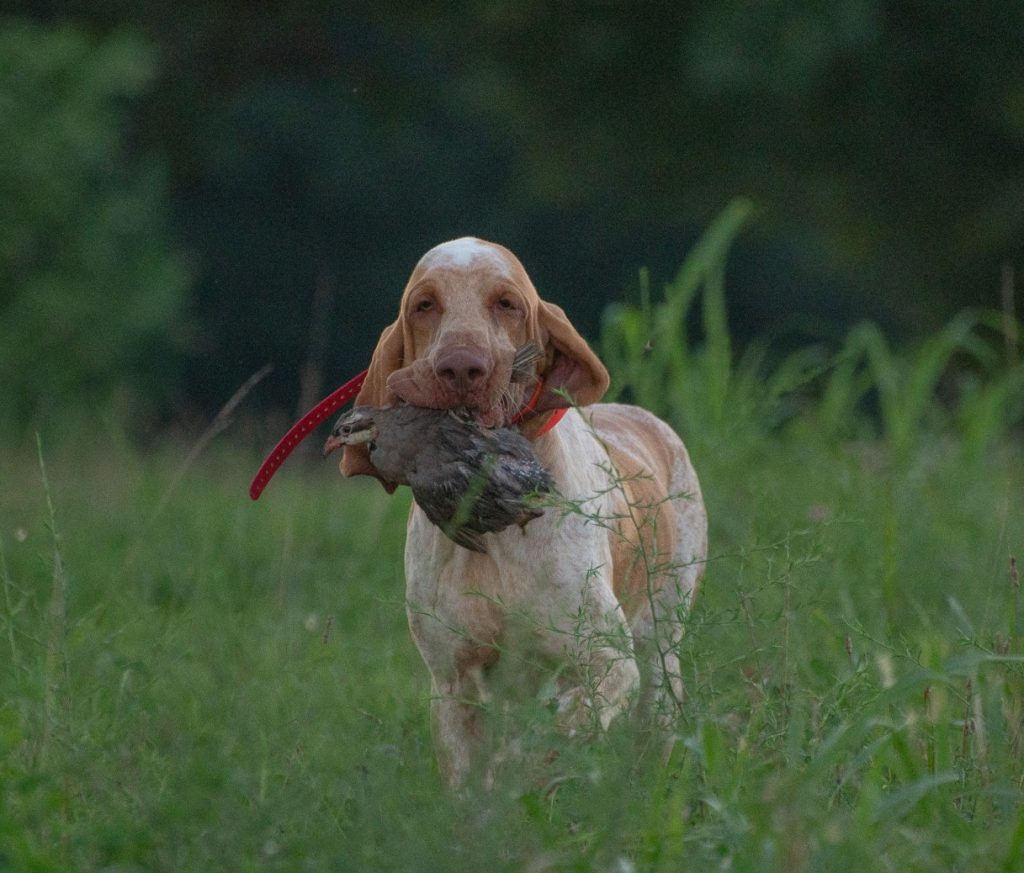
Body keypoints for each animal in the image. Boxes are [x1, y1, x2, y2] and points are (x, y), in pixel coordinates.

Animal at [339, 236, 708, 781]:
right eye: (424, 305)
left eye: (507, 303)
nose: (462, 367)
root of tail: (642, 418)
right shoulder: (453, 685)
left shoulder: (609, 661)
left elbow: (549, 737)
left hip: (660, 653)